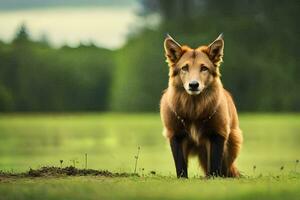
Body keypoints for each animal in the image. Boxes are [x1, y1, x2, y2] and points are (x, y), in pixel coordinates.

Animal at [161, 34, 243, 178]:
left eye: (204, 68)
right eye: (184, 68)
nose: (193, 85)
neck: (194, 111)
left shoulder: (217, 134)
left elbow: (215, 166)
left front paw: (213, 179)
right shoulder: (175, 135)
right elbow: (180, 167)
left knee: (226, 169)